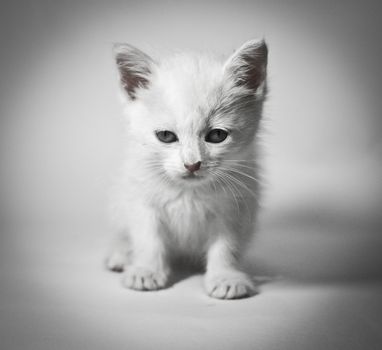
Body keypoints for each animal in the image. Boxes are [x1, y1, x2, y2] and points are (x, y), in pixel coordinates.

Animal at [106, 39, 268, 300]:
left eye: (217, 135)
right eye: (165, 136)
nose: (192, 164)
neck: (189, 192)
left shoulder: (237, 205)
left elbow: (227, 245)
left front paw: (225, 277)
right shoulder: (141, 199)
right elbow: (148, 238)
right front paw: (147, 270)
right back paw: (121, 255)